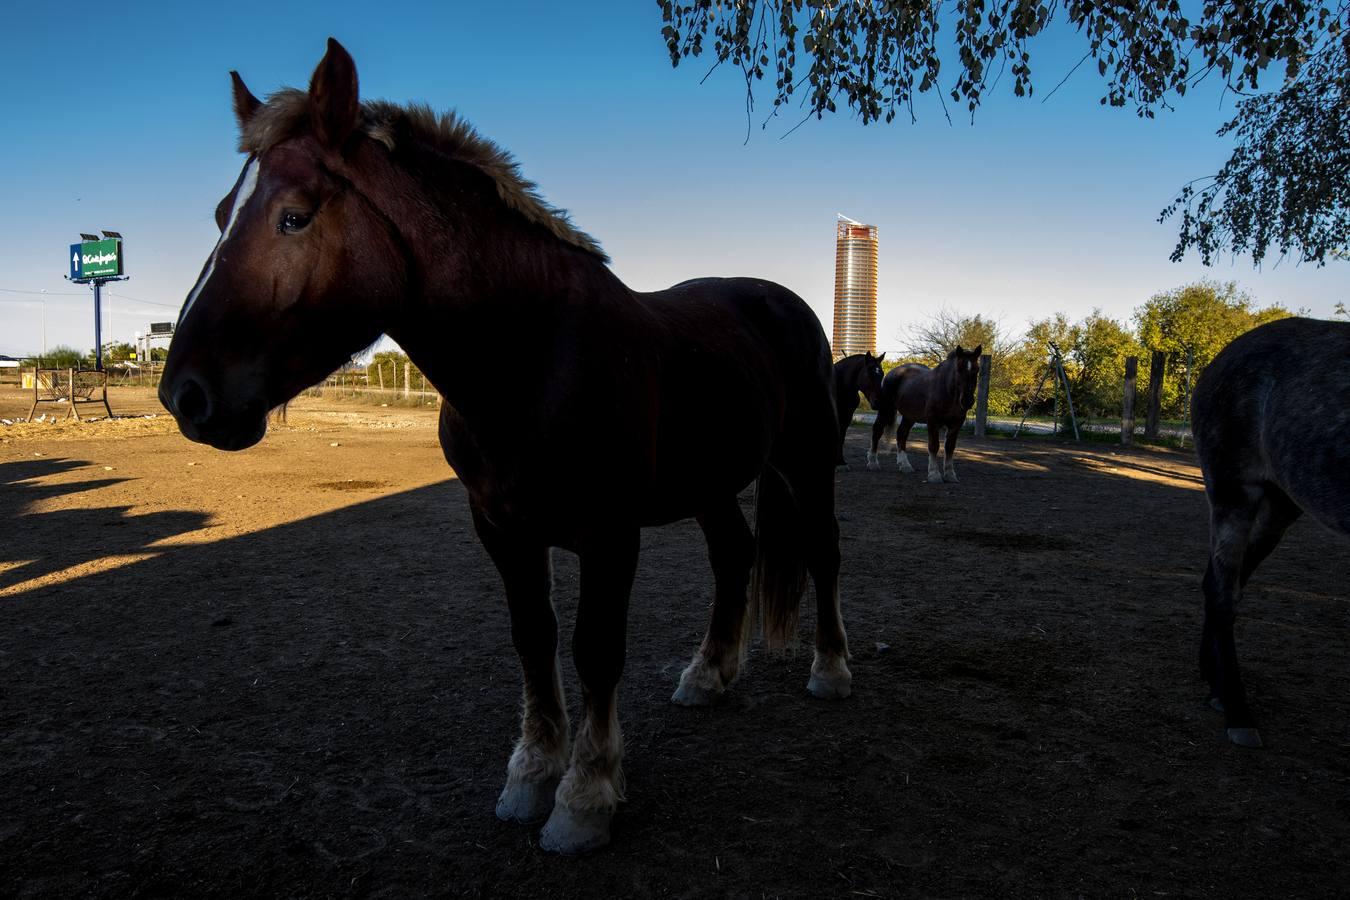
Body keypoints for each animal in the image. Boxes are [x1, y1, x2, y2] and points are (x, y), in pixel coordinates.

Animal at [157, 38, 847, 858]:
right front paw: (532, 774)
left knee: (823, 551)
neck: (532, 357)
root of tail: (783, 303)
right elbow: (533, 638)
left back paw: (831, 669)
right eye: (221, 214)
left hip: (808, 461)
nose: (185, 395)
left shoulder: (609, 534)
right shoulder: (501, 527)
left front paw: (585, 797)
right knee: (734, 555)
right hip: (710, 480)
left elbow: (594, 648)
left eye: (293, 216)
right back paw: (708, 675)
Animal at [864, 348, 982, 485]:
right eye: (958, 369)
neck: (947, 391)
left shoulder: (956, 425)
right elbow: (934, 446)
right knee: (877, 431)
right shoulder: (933, 422)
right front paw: (934, 475)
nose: (967, 401)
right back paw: (873, 463)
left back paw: (905, 465)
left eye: (977, 369)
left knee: (901, 434)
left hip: (909, 416)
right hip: (885, 410)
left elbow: (950, 448)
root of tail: (891, 373)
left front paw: (950, 475)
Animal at [1193, 319, 1350, 750]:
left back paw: (1214, 683)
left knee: (1225, 581)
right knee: (1223, 592)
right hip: (1233, 492)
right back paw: (1238, 712)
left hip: (1281, 505)